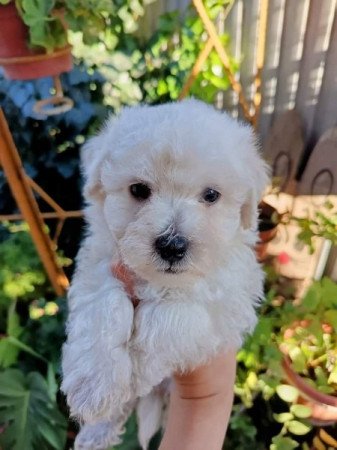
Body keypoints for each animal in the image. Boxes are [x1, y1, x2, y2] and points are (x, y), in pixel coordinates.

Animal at [61, 100, 270, 448]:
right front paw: (96, 384)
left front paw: (137, 371)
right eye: (138, 190)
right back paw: (95, 431)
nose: (172, 245)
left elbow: (173, 317)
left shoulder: (230, 298)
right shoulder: (100, 263)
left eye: (211, 195)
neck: (158, 280)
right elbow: (106, 305)